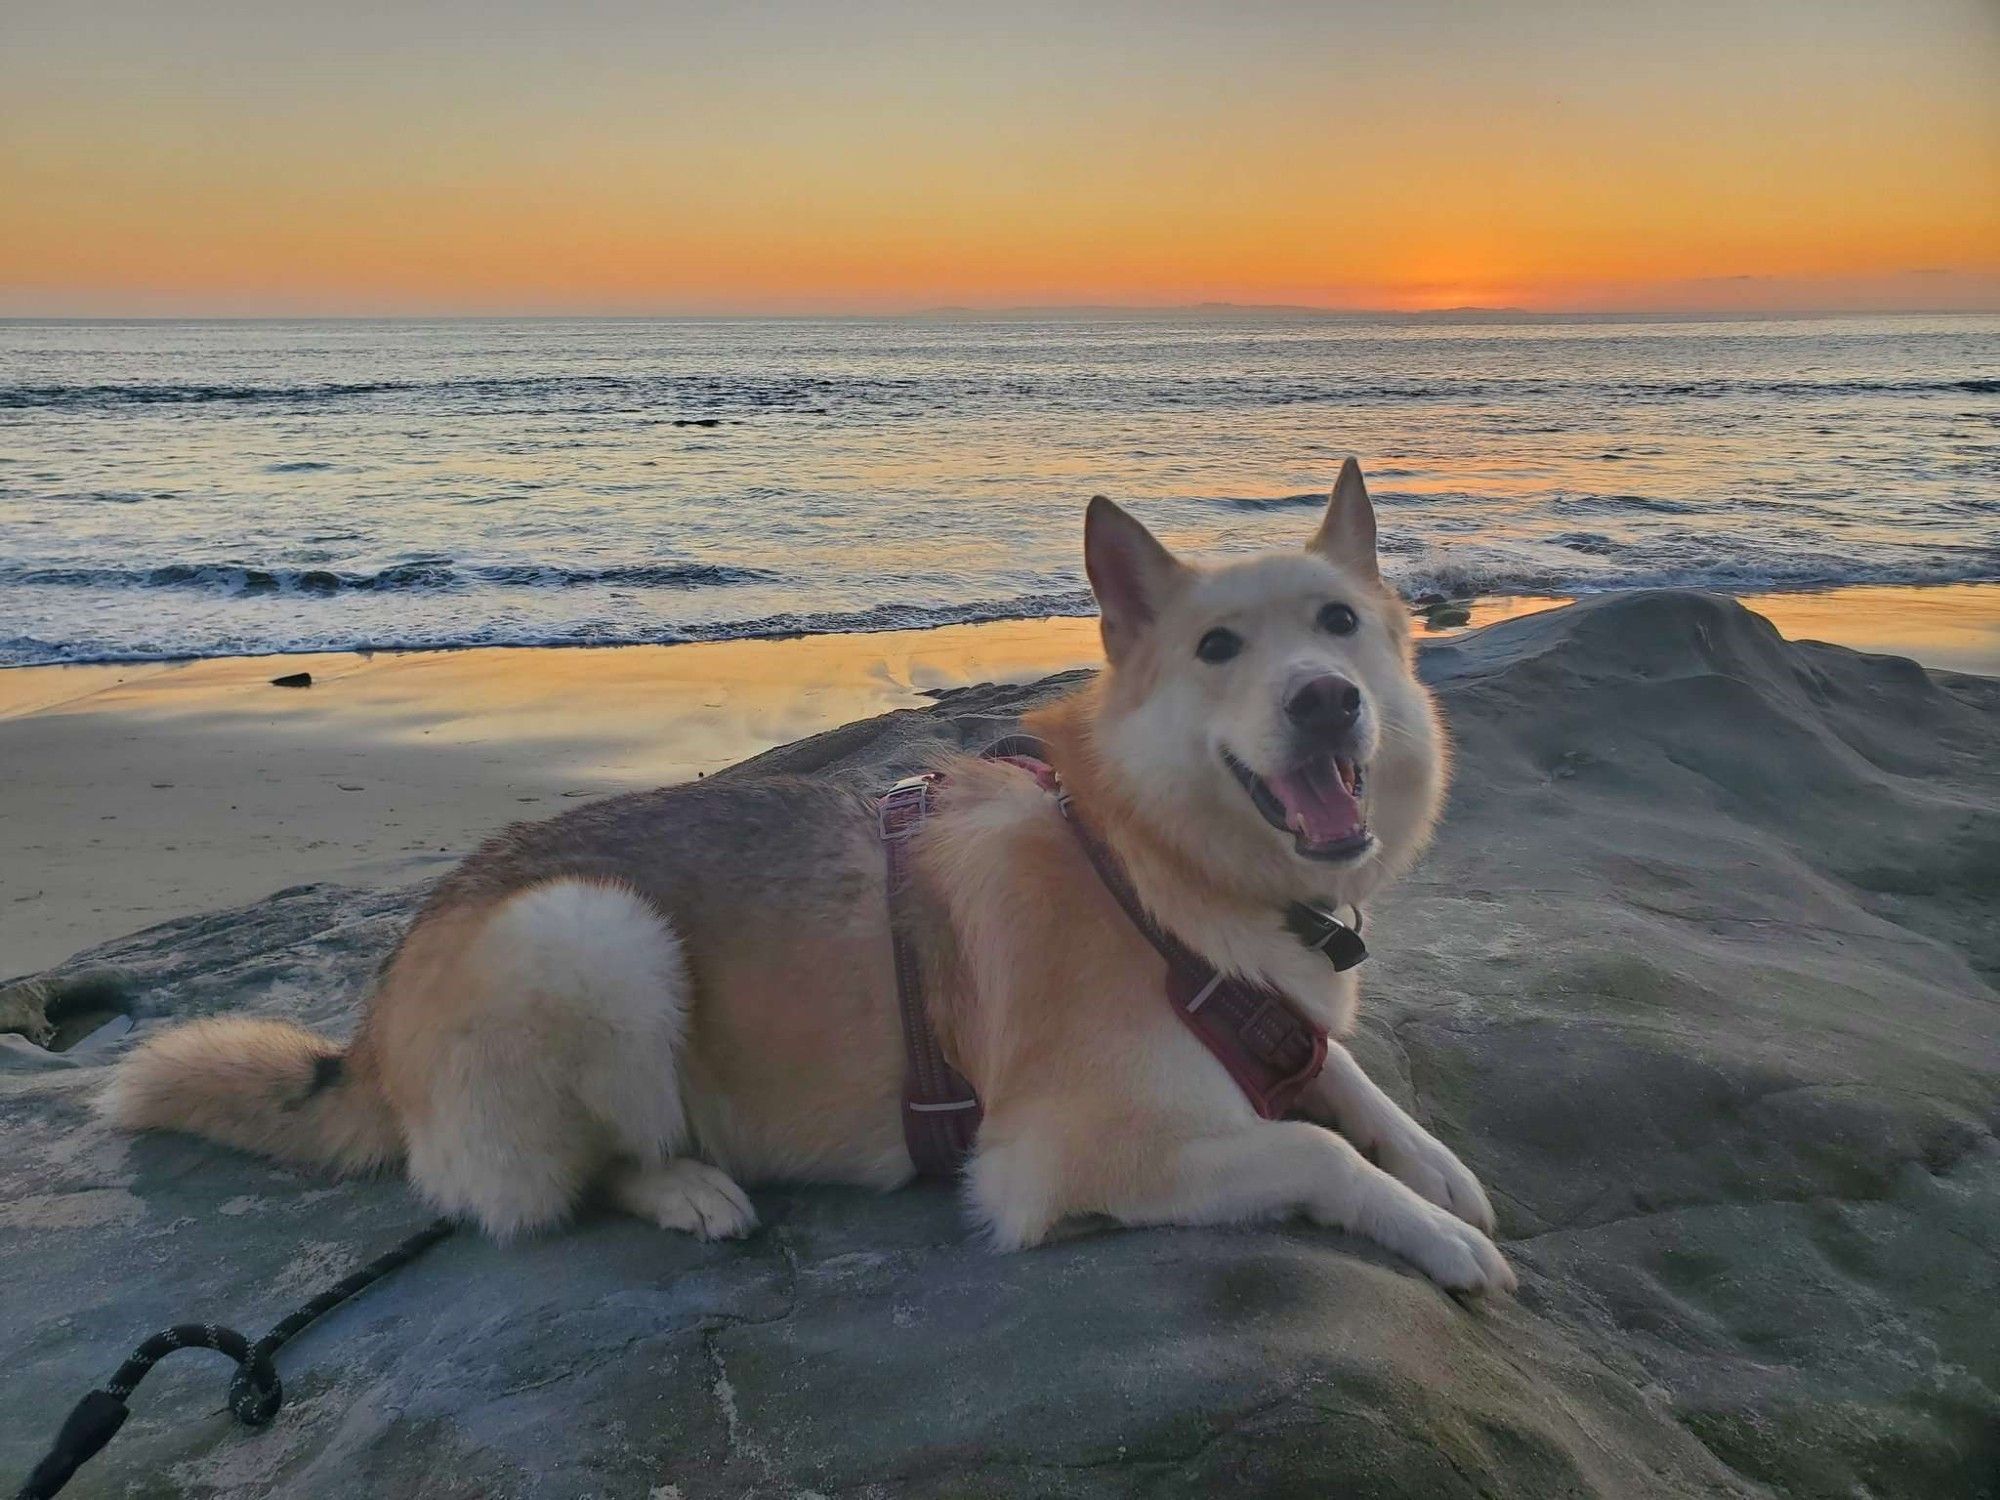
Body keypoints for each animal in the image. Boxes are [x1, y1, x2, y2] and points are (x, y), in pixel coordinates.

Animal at [105, 464, 1512, 1296]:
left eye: (1337, 625)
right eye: (1219, 648)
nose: (1325, 701)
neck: (1146, 858)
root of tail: (372, 1031)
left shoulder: (1279, 1032)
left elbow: (1343, 1079)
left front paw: (1438, 1171)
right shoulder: (1069, 1157)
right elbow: (1314, 1150)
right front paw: (1433, 1232)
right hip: (592, 934)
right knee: (570, 1181)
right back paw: (687, 1186)